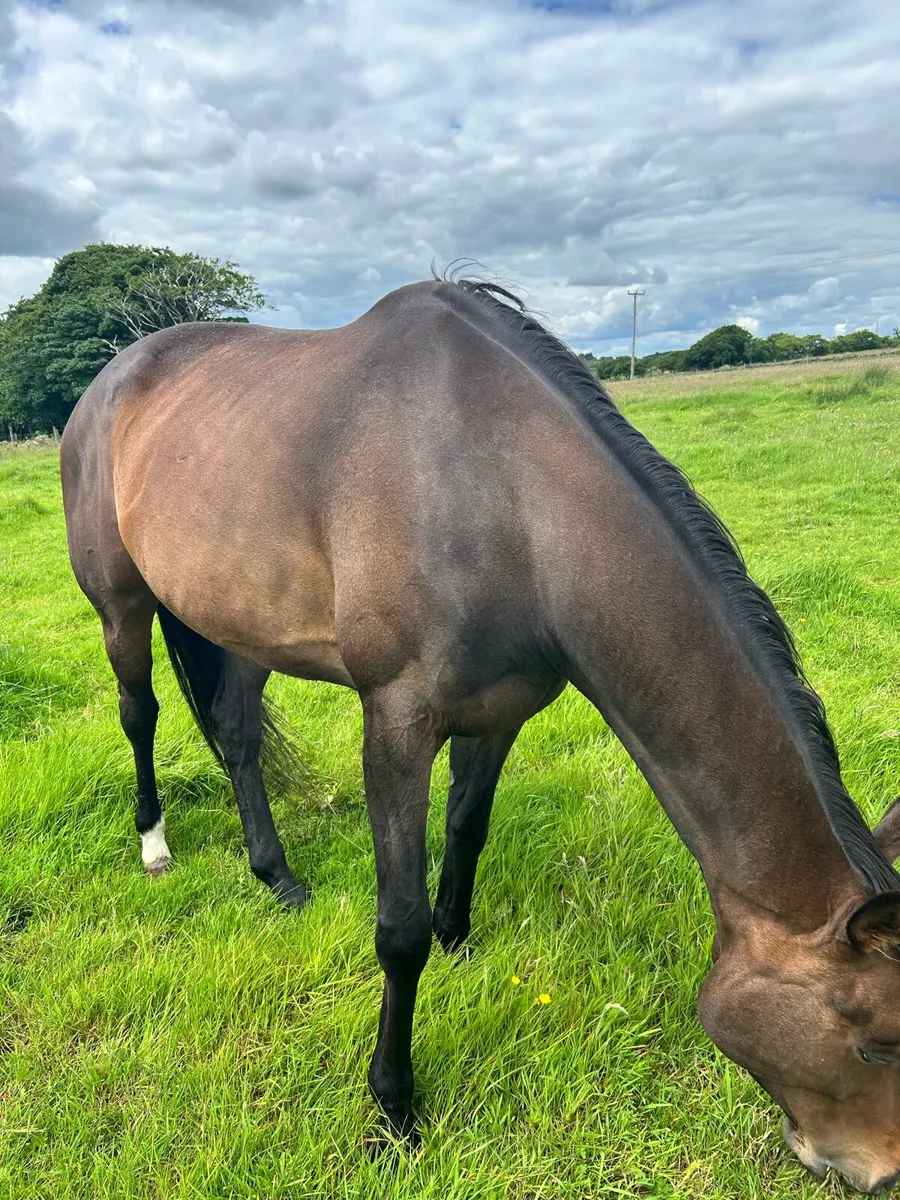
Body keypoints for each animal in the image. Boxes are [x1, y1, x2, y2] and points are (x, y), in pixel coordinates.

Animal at [60, 278, 900, 1192]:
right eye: (878, 1044)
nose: (879, 1173)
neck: (502, 497)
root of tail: (108, 383)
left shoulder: (500, 713)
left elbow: (467, 827)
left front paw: (458, 939)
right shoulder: (395, 722)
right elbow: (396, 933)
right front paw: (393, 1110)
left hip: (245, 622)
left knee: (239, 737)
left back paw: (277, 877)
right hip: (122, 606)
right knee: (139, 715)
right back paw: (154, 844)